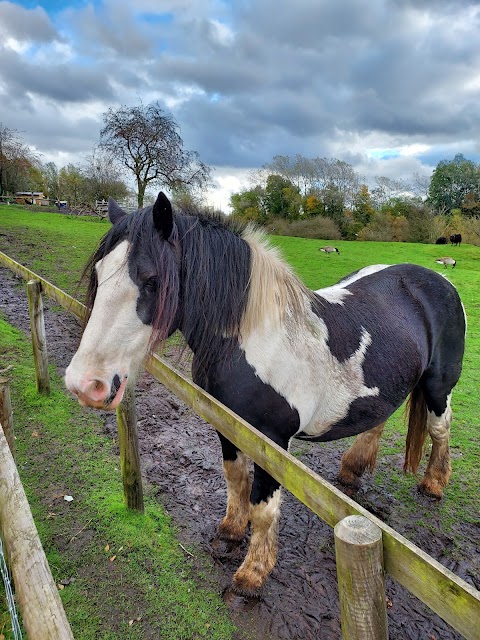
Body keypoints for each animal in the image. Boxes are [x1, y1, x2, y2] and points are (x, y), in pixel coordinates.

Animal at [64, 190, 464, 596]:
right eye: (98, 273)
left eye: (151, 279)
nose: (86, 384)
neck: (253, 341)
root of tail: (439, 279)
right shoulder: (228, 427)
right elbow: (235, 480)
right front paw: (230, 531)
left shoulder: (272, 442)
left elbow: (264, 508)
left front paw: (253, 572)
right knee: (377, 418)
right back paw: (353, 470)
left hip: (438, 387)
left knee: (440, 428)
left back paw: (433, 484)